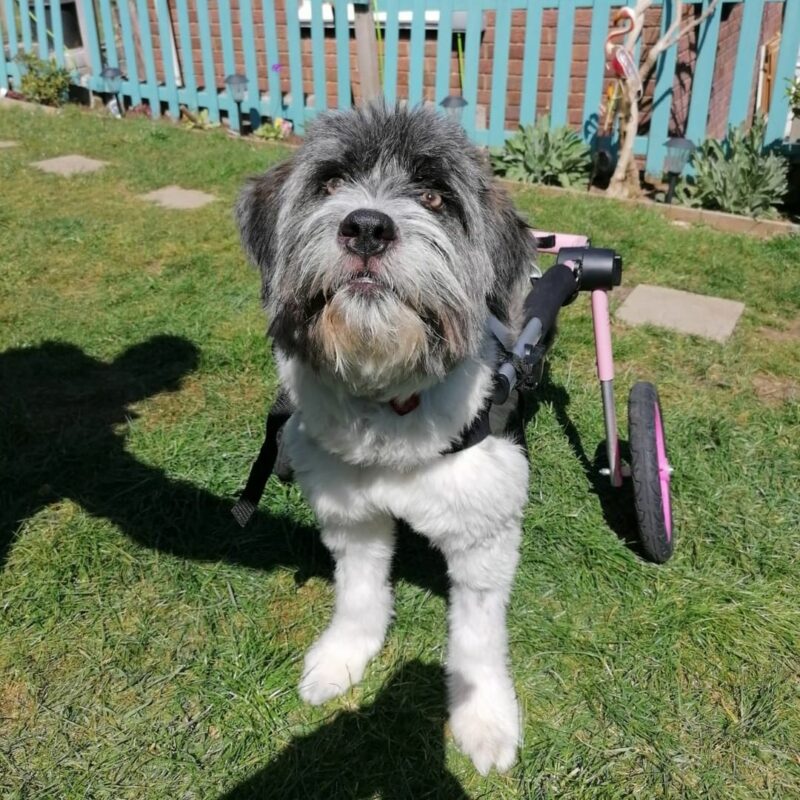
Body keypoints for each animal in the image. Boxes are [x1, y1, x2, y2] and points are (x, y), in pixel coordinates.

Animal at [236, 103, 537, 774]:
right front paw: (342, 657)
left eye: (433, 195)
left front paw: (483, 718)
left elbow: (478, 638)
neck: (391, 404)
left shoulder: (484, 532)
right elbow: (357, 595)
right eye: (328, 184)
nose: (367, 227)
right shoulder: (352, 515)